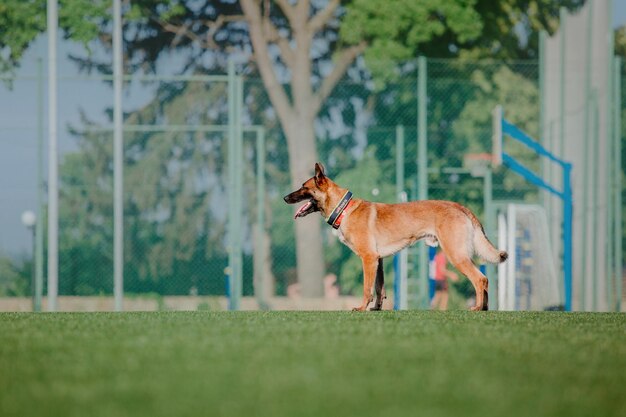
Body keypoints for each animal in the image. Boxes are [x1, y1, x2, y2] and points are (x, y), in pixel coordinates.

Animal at [282, 162, 508, 308]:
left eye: (303, 187)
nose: (284, 198)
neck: (343, 209)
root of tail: (459, 207)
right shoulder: (378, 261)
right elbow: (379, 288)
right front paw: (376, 309)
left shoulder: (369, 259)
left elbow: (367, 288)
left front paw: (361, 309)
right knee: (484, 280)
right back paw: (485, 310)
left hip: (456, 255)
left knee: (480, 279)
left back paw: (477, 308)